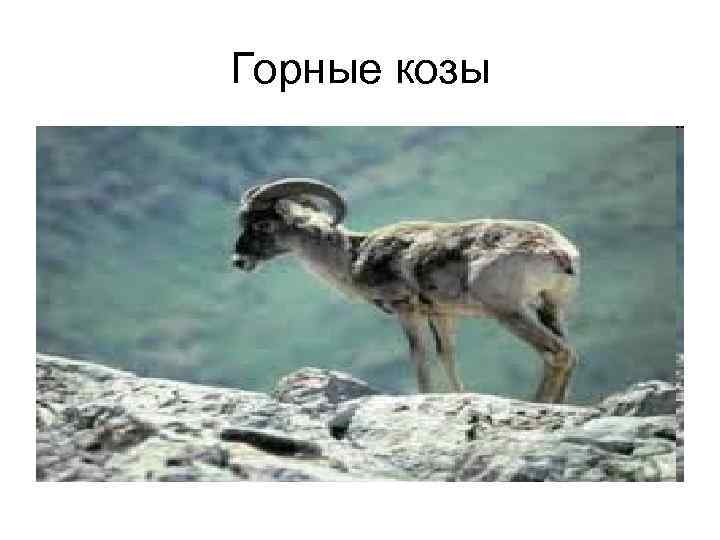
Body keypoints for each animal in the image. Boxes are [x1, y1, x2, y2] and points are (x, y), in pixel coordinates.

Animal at [232, 178, 580, 403]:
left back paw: (537, 403)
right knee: (567, 353)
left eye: (262, 225)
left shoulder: (406, 310)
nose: (239, 261)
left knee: (557, 353)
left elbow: (420, 357)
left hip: (509, 312)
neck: (354, 256)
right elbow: (446, 356)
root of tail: (559, 252)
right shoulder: (442, 315)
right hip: (550, 307)